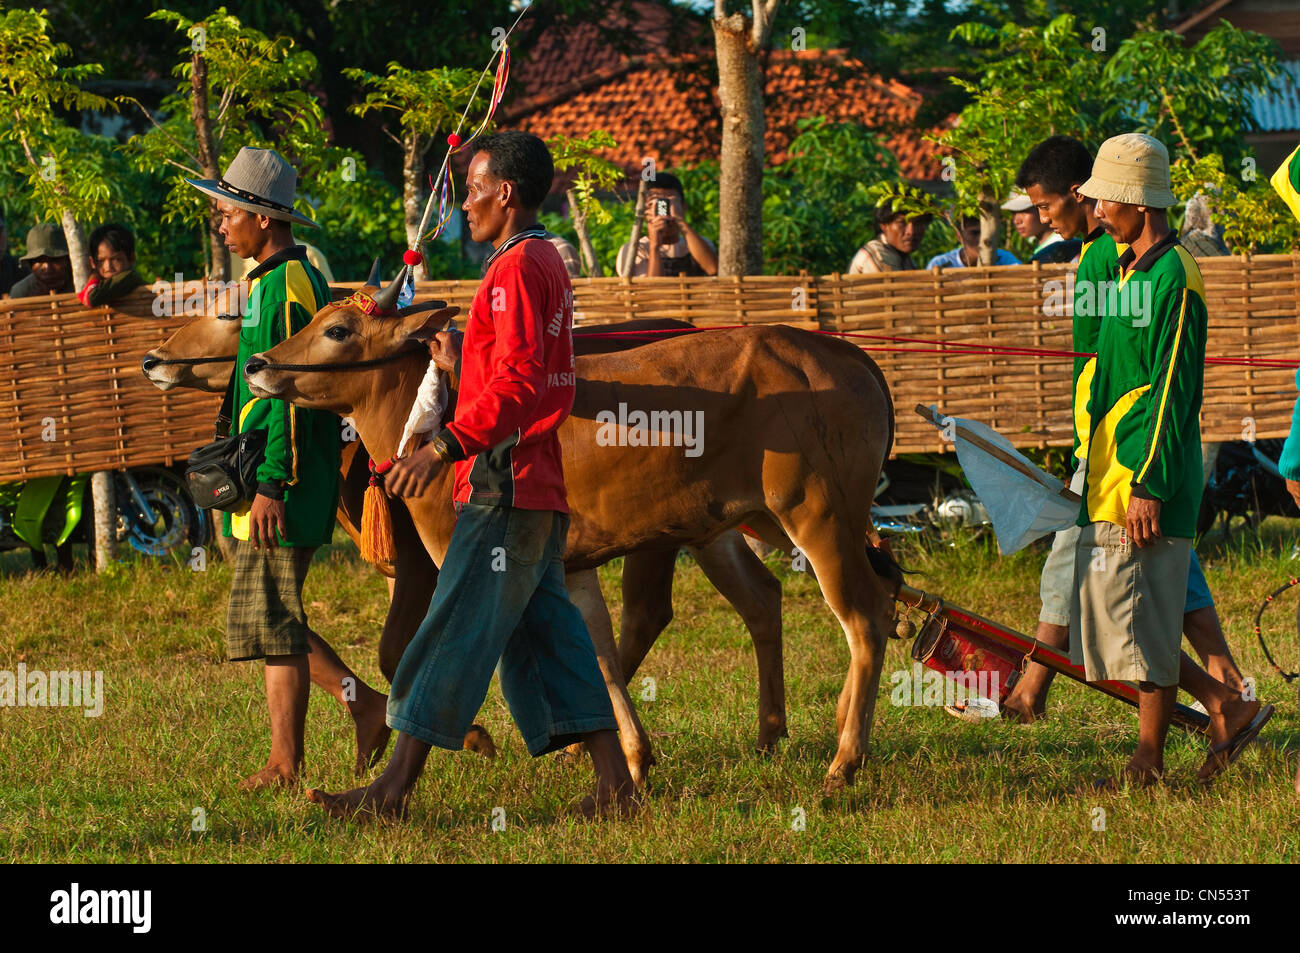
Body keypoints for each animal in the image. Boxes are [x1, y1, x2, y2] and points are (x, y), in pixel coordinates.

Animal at [244, 289, 899, 790]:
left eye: (337, 329)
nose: (257, 364)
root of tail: (843, 353)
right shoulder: (570, 563)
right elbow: (598, 654)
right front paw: (630, 759)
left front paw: (478, 740)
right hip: (739, 524)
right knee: (779, 599)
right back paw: (779, 732)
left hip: (817, 515)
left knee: (865, 616)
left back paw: (844, 760)